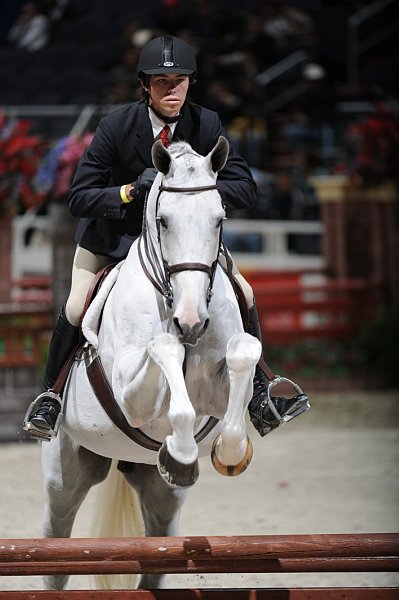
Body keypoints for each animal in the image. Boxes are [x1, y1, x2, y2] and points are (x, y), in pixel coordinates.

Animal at [41, 136, 262, 592]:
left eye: (219, 220)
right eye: (163, 221)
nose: (192, 321)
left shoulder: (217, 389)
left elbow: (243, 352)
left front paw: (226, 452)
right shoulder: (131, 395)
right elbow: (165, 348)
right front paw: (180, 449)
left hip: (161, 497)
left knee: (156, 561)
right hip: (63, 476)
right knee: (56, 555)